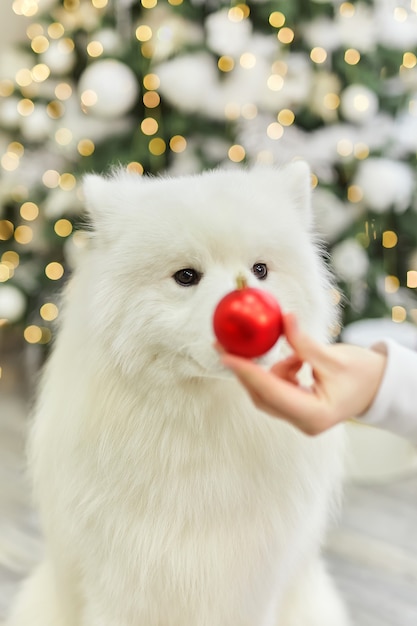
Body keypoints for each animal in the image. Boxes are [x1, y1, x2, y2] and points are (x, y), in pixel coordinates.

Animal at [6, 162, 348, 624]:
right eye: (186, 276)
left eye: (260, 269)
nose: (247, 309)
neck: (202, 428)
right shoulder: (120, 587)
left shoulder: (251, 588)